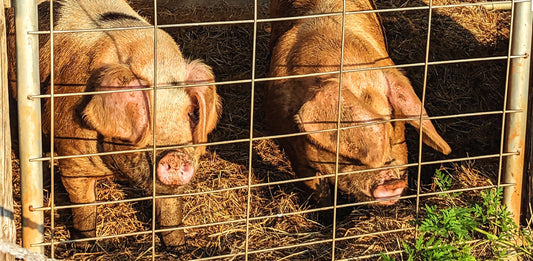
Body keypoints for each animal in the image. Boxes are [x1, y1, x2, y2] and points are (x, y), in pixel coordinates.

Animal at [6, 0, 218, 245]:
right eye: (145, 114)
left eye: (190, 113)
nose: (175, 155)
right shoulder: (73, 154)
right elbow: (85, 207)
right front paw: (85, 245)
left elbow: (170, 208)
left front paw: (179, 247)